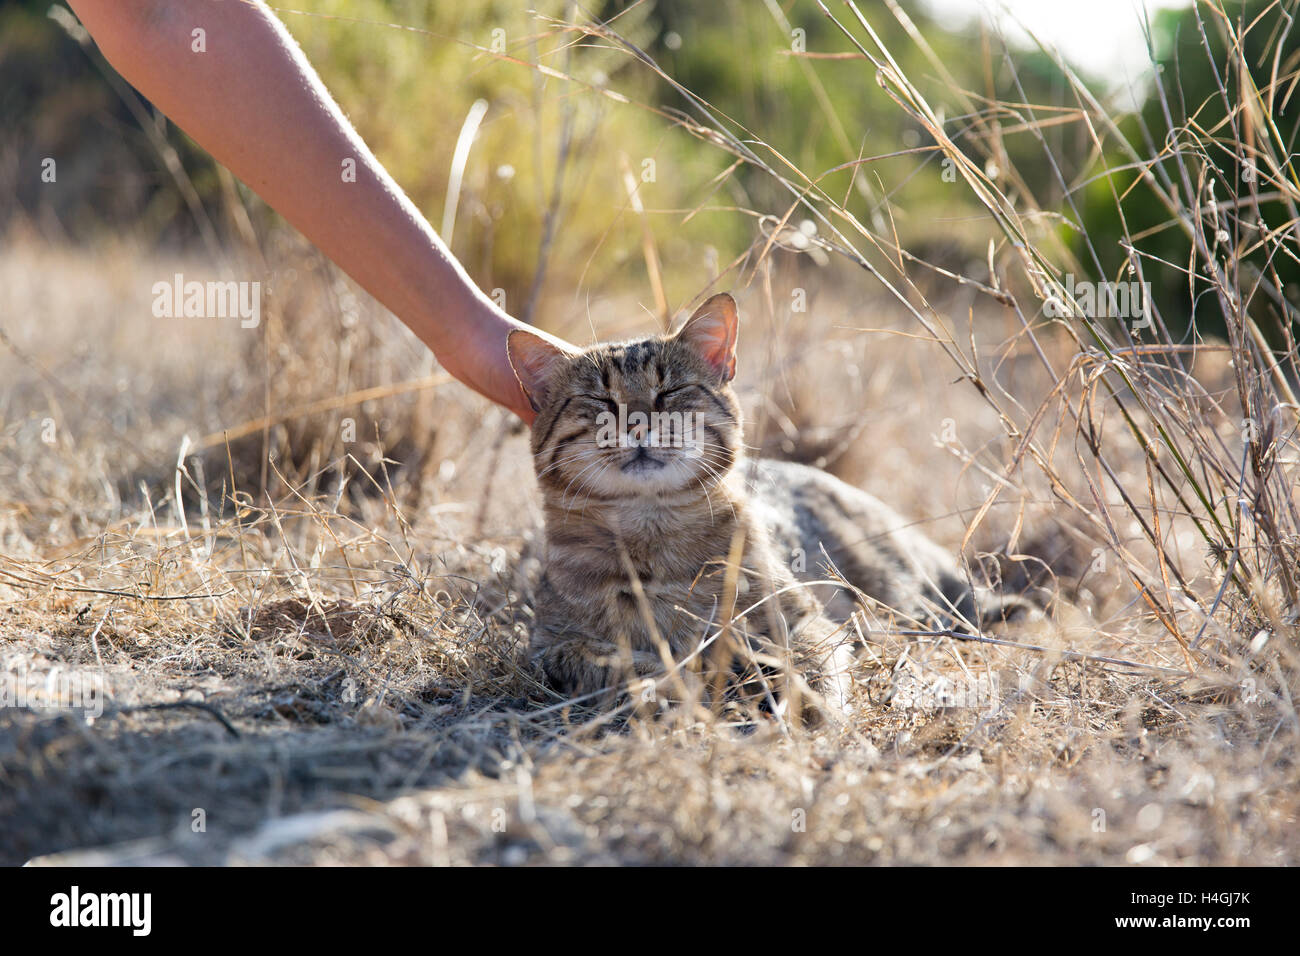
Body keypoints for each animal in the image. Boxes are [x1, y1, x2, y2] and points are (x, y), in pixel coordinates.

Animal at [506, 293, 1024, 717]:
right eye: (601, 400)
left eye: (668, 392)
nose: (637, 424)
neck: (650, 527)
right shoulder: (551, 646)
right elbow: (613, 663)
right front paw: (675, 687)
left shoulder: (806, 619)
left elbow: (813, 665)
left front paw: (814, 712)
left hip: (904, 588)